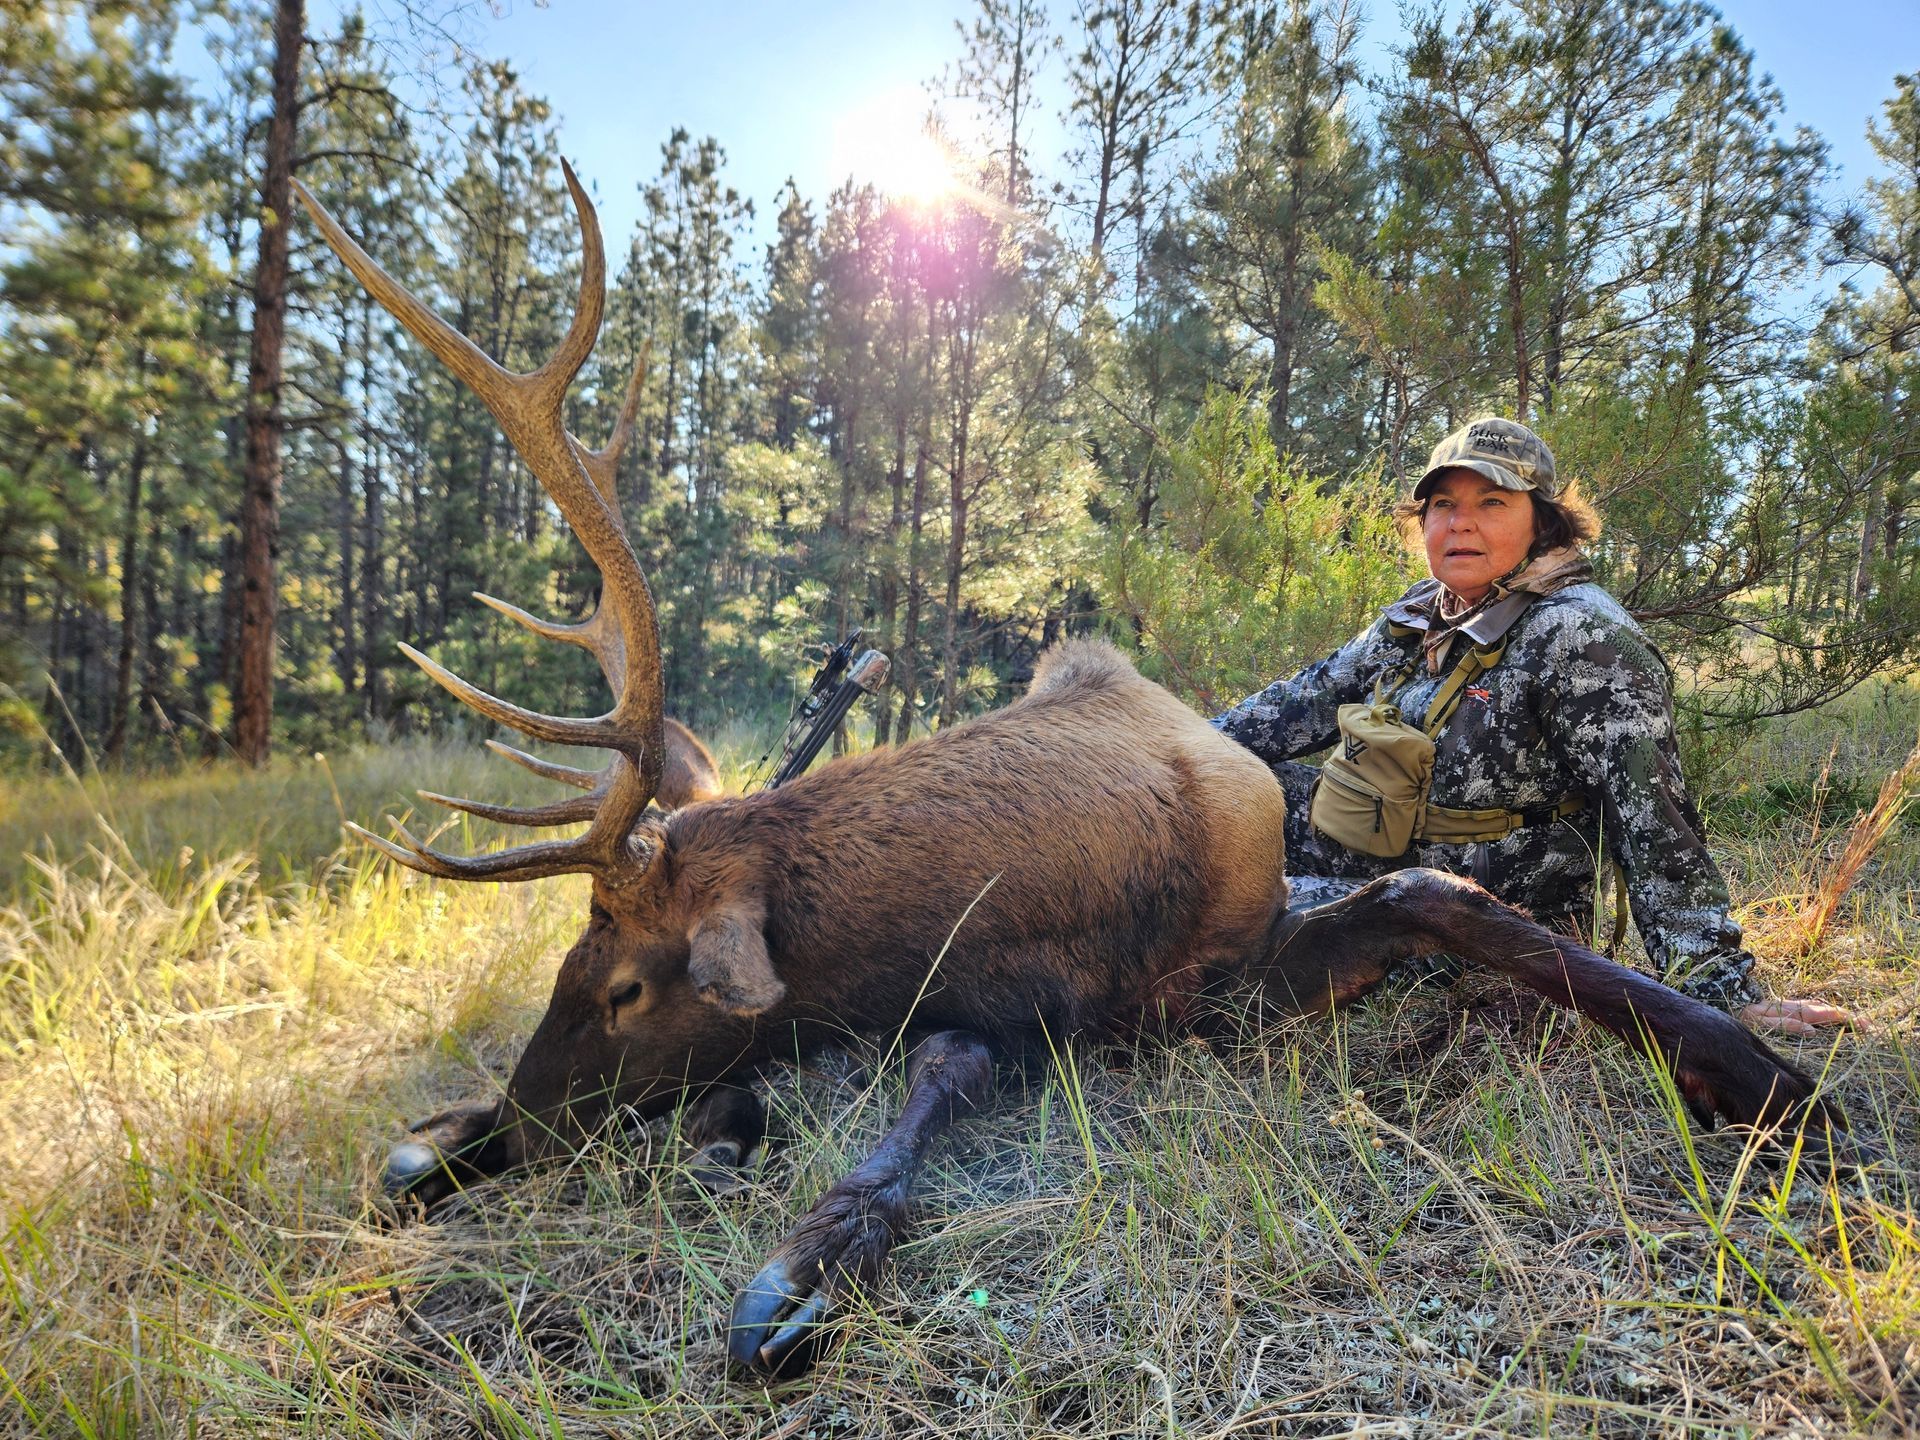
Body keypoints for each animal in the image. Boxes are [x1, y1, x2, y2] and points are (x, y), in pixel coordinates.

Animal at [295, 164, 1847, 1380]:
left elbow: (1446, 905)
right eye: (564, 958)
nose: (521, 1126)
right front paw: (462, 1149)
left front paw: (1771, 1077)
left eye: (624, 985)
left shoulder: (1181, 985)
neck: (998, 901)